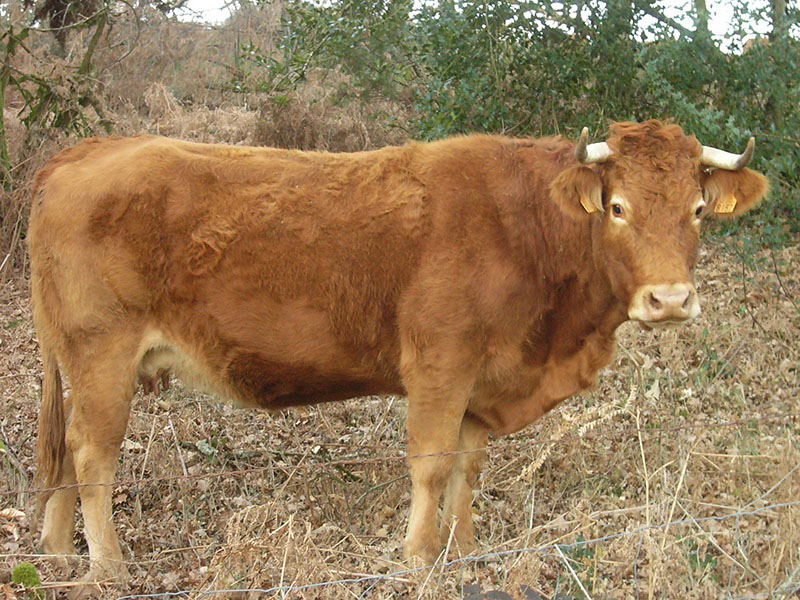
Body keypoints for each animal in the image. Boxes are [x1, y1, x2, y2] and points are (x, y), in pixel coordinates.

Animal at [29, 120, 768, 592]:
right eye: (616, 207)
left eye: (698, 209)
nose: (669, 300)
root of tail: (87, 150)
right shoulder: (440, 364)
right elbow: (433, 465)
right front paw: (416, 557)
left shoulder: (483, 381)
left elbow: (469, 467)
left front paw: (464, 549)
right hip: (103, 353)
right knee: (92, 455)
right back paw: (108, 568)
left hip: (77, 360)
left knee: (63, 450)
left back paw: (57, 552)